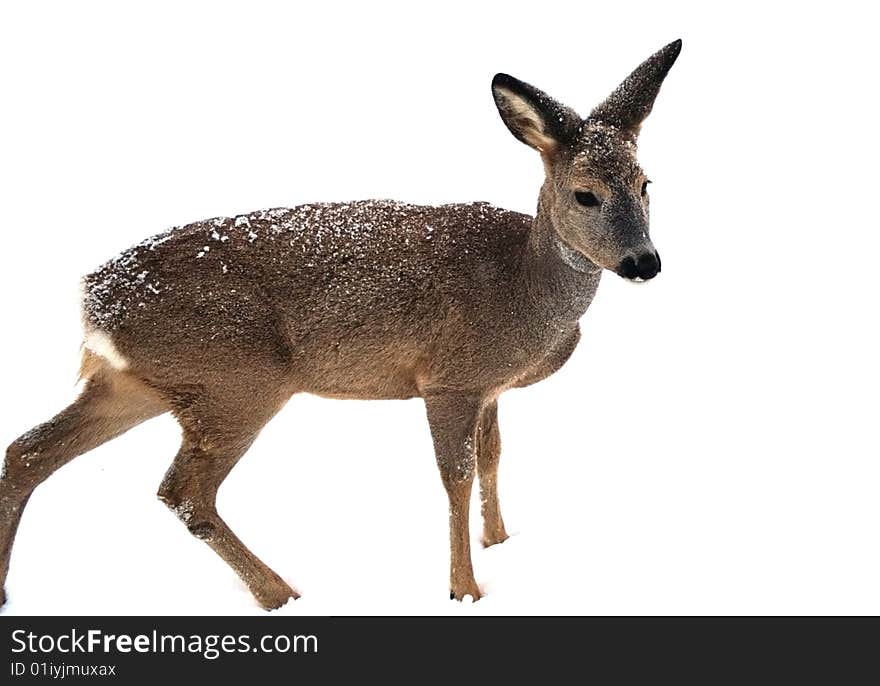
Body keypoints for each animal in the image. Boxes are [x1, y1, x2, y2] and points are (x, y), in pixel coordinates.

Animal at [0, 40, 680, 612]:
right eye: (586, 194)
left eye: (648, 184)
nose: (644, 262)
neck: (525, 283)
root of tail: (94, 301)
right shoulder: (451, 378)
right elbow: (455, 478)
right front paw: (464, 589)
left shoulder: (491, 386)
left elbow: (493, 458)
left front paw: (503, 544)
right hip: (238, 380)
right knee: (182, 491)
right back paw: (281, 593)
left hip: (141, 383)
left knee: (29, 450)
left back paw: (8, 589)